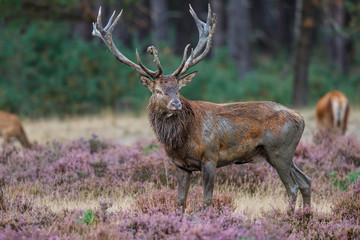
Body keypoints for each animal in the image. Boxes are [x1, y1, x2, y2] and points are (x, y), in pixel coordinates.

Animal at [91, 4, 310, 212]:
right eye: (158, 91)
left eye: (178, 89)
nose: (176, 103)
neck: (182, 141)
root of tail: (301, 118)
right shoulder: (181, 165)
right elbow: (180, 201)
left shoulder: (210, 157)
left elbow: (207, 200)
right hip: (281, 153)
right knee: (306, 181)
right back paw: (306, 216)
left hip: (279, 150)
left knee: (292, 187)